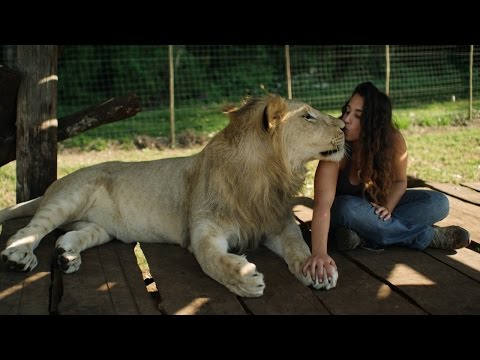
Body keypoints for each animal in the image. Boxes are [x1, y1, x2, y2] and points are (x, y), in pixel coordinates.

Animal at [0, 94, 344, 296]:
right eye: (308, 116)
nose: (343, 123)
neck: (265, 177)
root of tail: (57, 183)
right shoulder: (203, 230)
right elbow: (210, 259)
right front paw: (244, 278)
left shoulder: (277, 222)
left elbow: (298, 245)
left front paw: (315, 267)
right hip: (69, 197)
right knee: (31, 229)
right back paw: (19, 256)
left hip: (100, 229)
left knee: (67, 235)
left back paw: (66, 256)